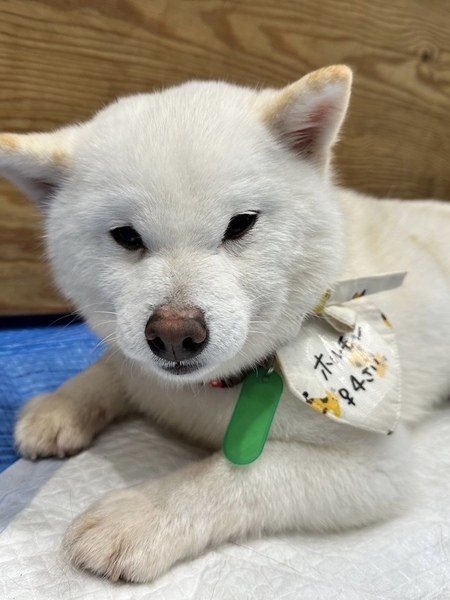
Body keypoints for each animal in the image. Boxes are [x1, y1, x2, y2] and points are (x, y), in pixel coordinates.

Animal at [1, 65, 450, 583]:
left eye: (240, 224)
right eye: (126, 236)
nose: (175, 335)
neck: (204, 394)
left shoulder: (377, 467)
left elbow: (240, 474)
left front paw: (143, 512)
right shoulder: (139, 367)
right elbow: (115, 367)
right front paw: (61, 405)